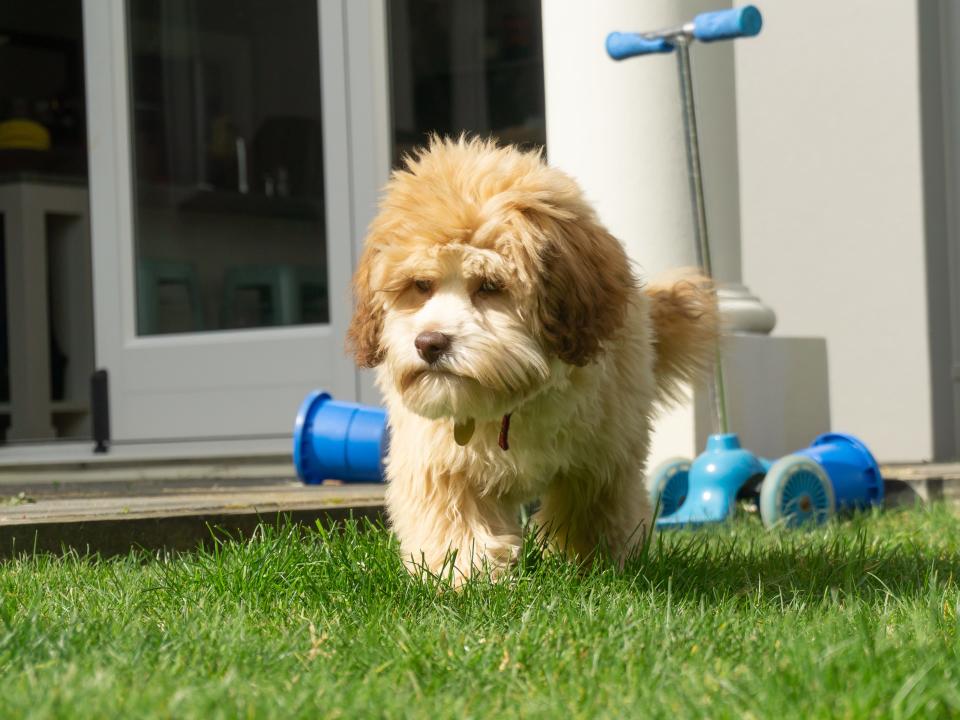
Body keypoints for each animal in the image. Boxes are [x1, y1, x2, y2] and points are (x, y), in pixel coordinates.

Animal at [348, 136, 716, 584]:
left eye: (490, 286)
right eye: (421, 285)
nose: (430, 343)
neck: (512, 397)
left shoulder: (604, 454)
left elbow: (592, 508)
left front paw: (599, 564)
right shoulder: (439, 457)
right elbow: (456, 519)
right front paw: (466, 573)